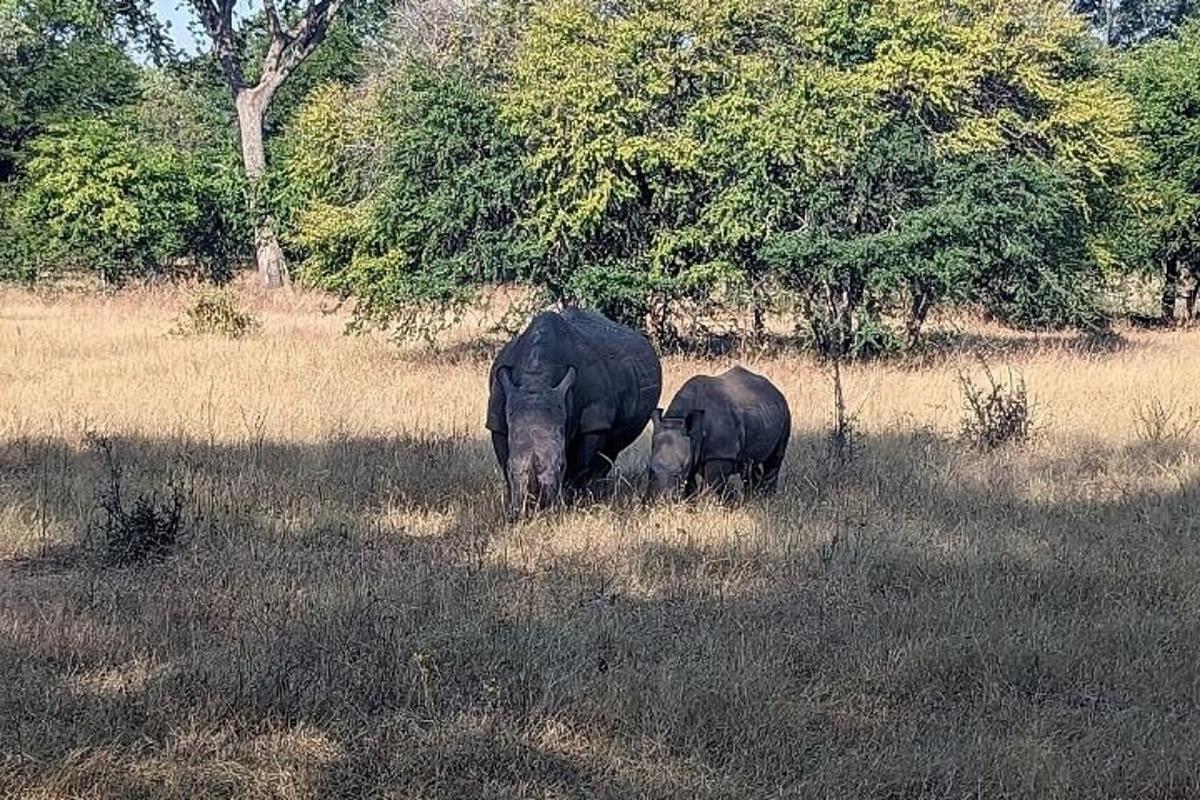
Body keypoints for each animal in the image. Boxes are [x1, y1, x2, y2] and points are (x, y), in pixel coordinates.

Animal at [648, 367, 787, 501]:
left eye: (679, 473)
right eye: (650, 470)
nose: (660, 500)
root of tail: (775, 388)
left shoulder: (720, 454)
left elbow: (713, 485)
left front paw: (710, 504)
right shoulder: (692, 448)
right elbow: (691, 485)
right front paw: (690, 504)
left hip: (785, 408)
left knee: (775, 459)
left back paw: (767, 499)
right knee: (750, 464)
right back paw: (753, 499)